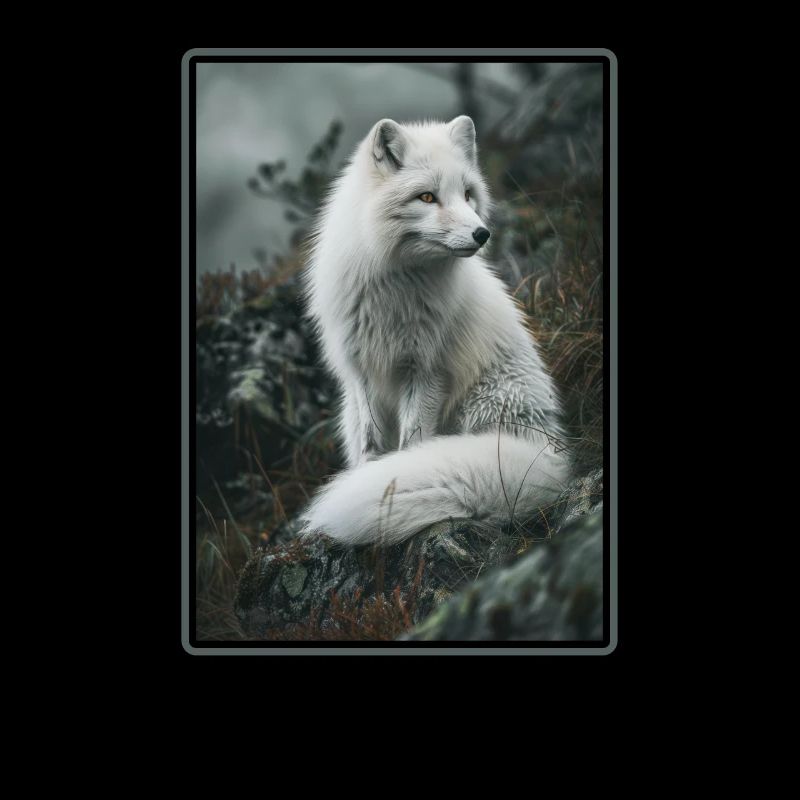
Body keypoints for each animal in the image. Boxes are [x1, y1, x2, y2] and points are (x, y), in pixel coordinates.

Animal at [300, 115, 571, 546]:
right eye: (427, 197)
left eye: (468, 194)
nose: (482, 234)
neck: (395, 289)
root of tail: (549, 452)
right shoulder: (361, 371)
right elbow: (371, 443)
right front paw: (368, 474)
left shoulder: (427, 370)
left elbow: (411, 443)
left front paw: (390, 477)